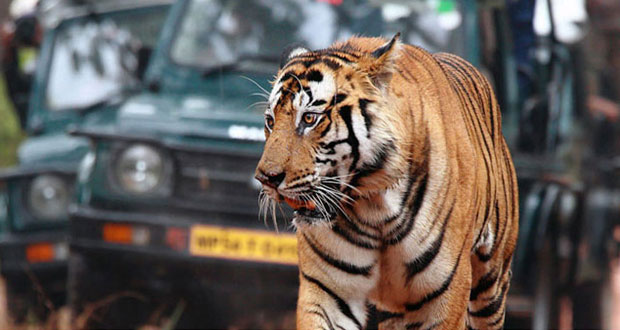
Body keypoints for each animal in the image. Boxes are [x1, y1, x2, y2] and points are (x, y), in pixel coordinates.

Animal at [254, 34, 520, 330]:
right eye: (270, 121)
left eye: (310, 118)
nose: (265, 178)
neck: (374, 207)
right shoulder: (329, 291)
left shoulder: (443, 295)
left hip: (491, 285)